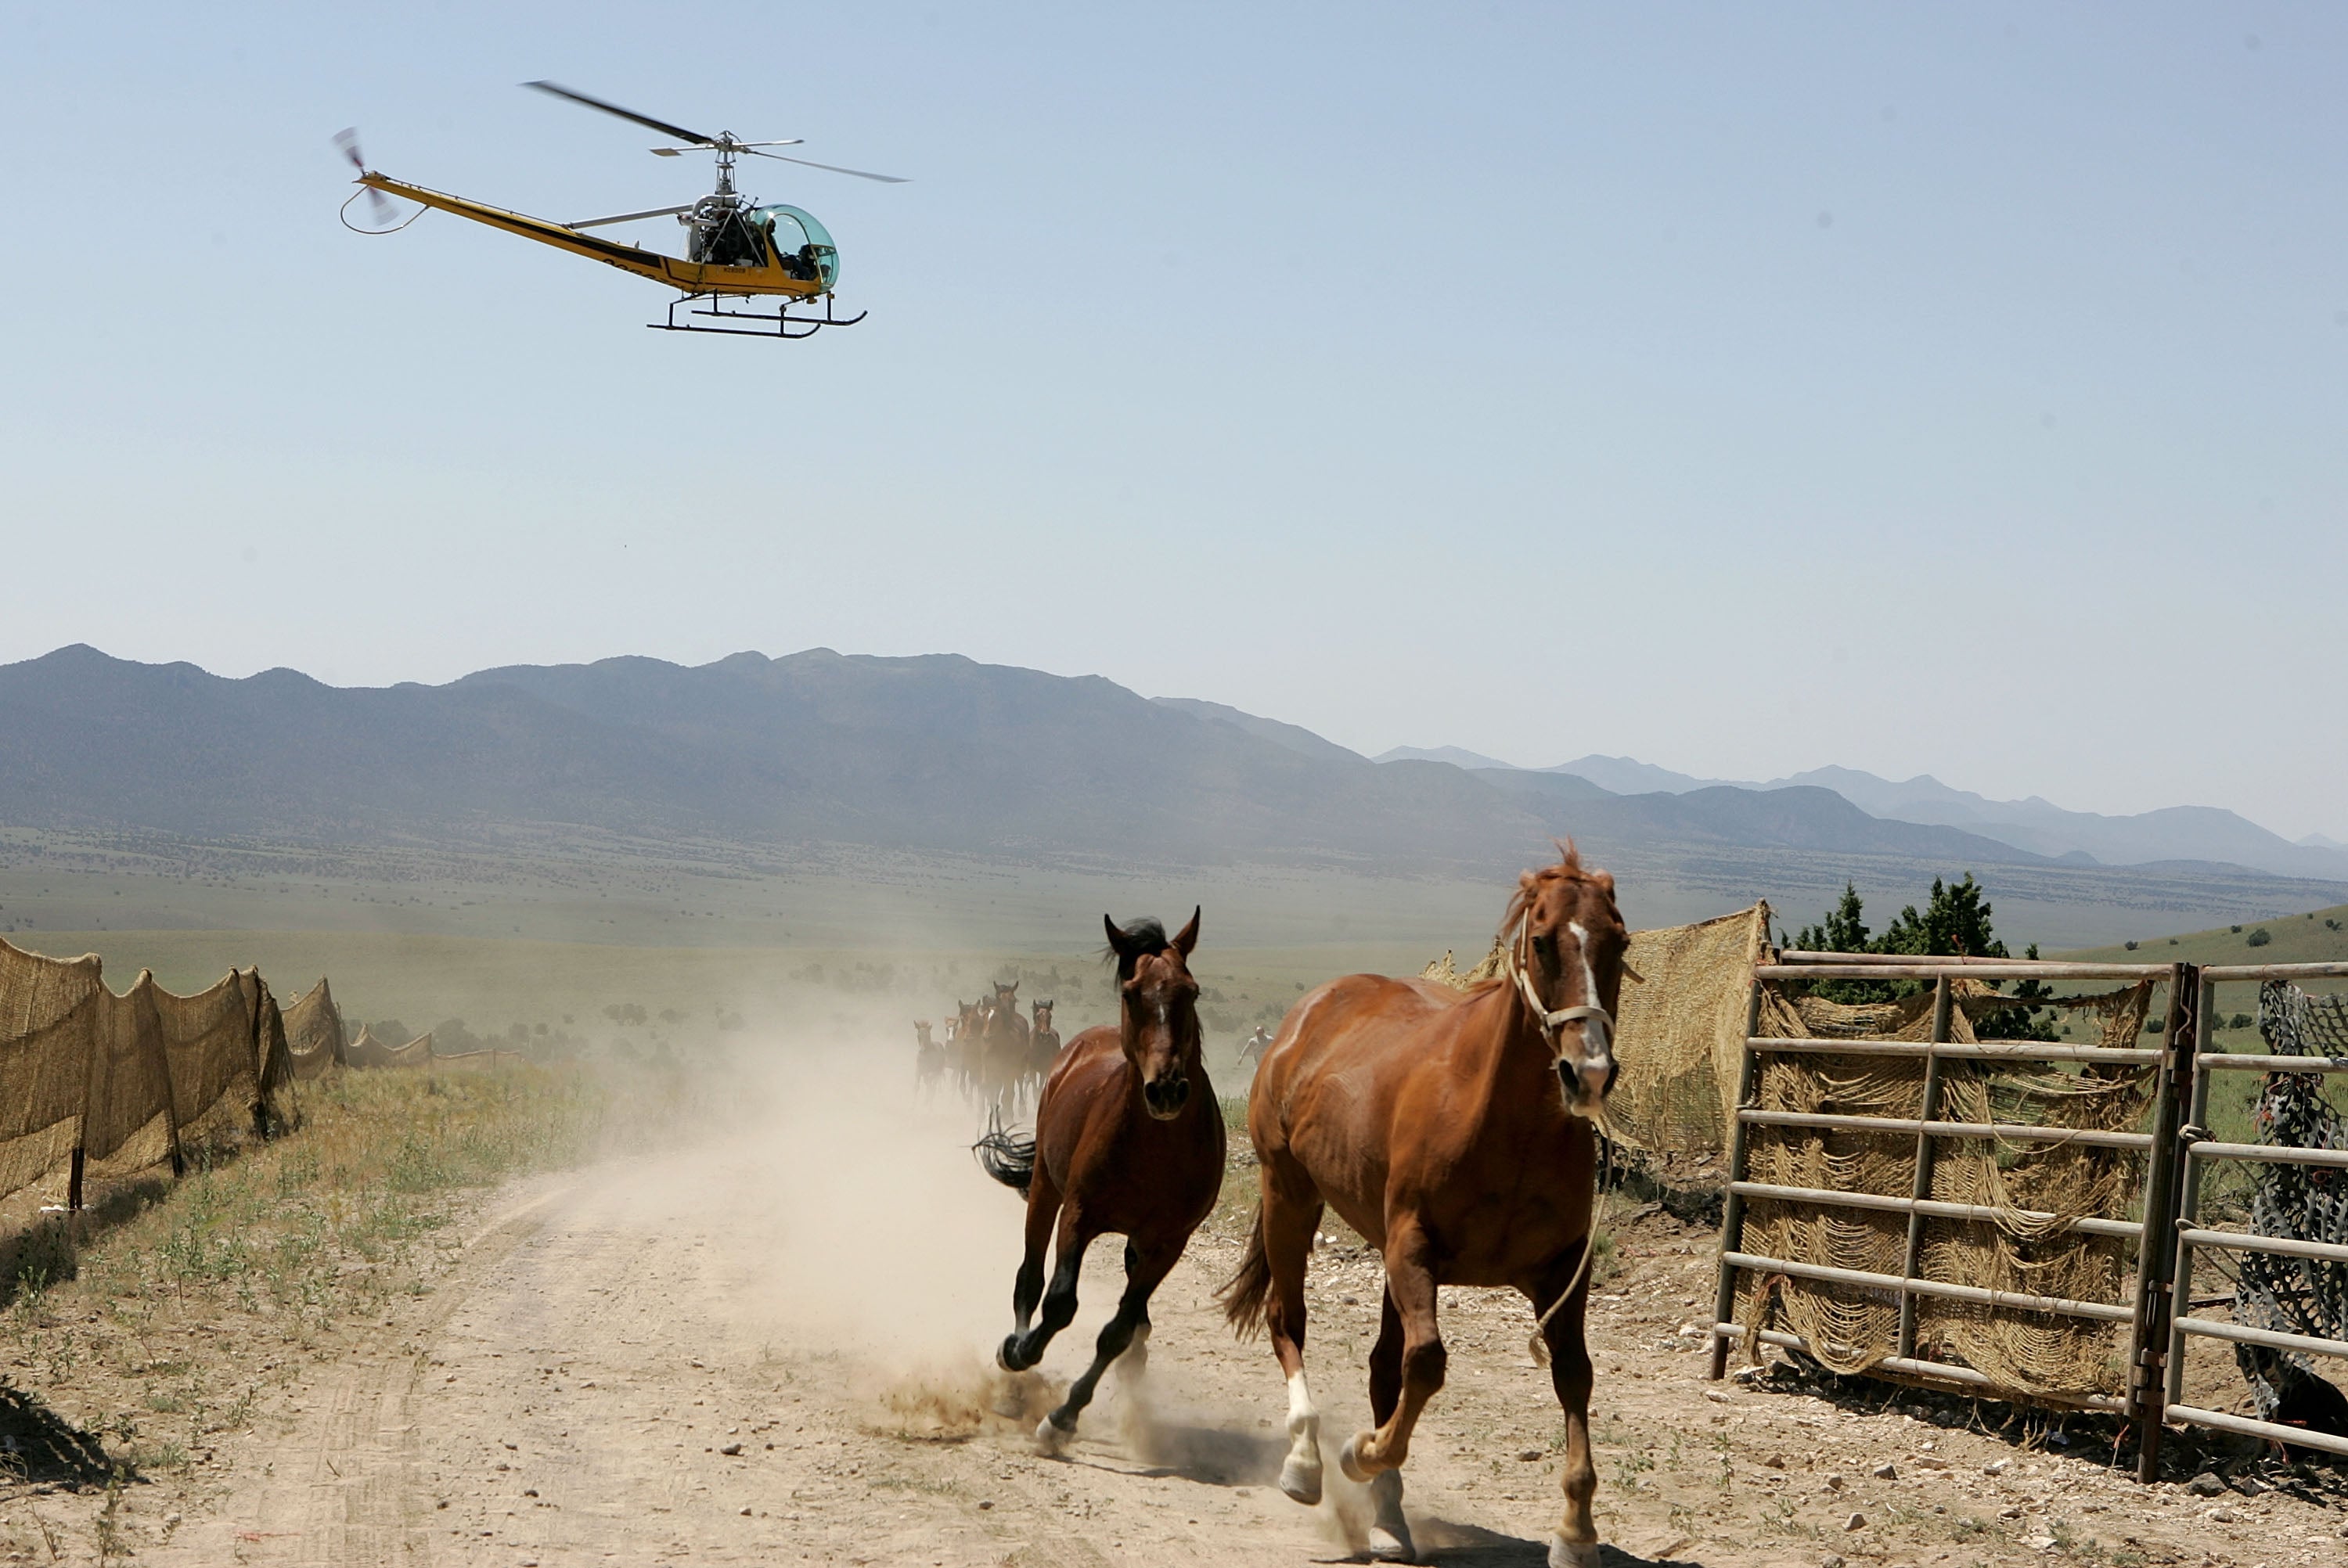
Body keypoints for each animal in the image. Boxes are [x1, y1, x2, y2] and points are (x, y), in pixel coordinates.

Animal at [977, 911, 1223, 1452]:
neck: (1156, 1148)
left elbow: (1119, 1329)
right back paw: (1014, 1373)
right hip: (1045, 1190)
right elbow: (1059, 1302)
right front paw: (1018, 1353)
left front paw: (1064, 1416)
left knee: (1133, 1319)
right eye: (1131, 993)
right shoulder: (1080, 1213)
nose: (1167, 1089)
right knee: (1029, 1278)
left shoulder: (1167, 1242)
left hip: (1135, 1238)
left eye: (1192, 991)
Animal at [1220, 846, 1626, 1567]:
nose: (1590, 1073)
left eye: (1620, 941)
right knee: (1288, 1321)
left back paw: (1388, 1519)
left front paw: (1577, 1531)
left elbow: (1574, 1375)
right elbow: (1429, 1363)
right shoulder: (1415, 1248)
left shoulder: (1561, 1267)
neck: (1501, 1122)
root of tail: (1309, 1014)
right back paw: (1307, 1461)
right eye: (1543, 941)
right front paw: (1360, 1453)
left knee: (1385, 1368)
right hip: (1290, 1196)